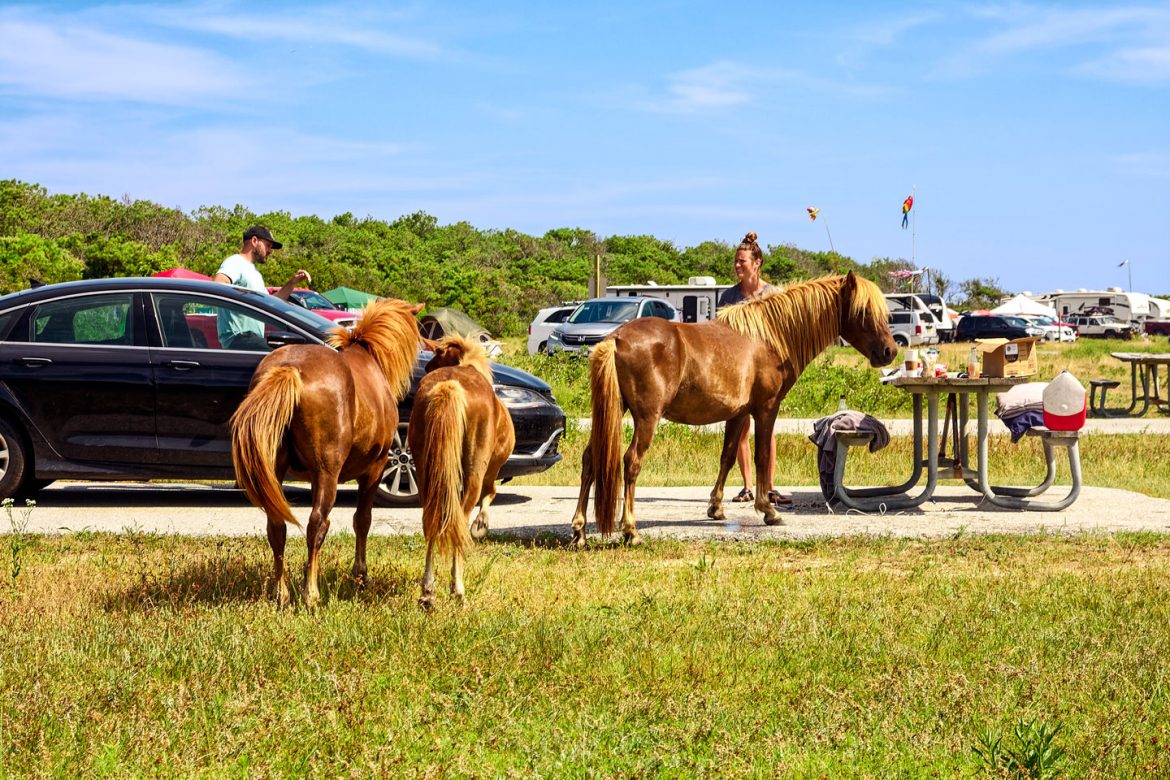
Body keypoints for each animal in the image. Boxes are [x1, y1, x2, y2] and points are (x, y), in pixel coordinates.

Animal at [230, 298, 423, 607]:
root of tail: (290, 369)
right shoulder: (374, 470)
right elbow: (362, 521)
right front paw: (360, 576)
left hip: (277, 470)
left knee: (277, 527)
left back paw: (282, 593)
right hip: (328, 472)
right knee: (317, 524)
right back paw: (311, 594)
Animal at [408, 335, 515, 609]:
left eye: (433, 360)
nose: (426, 368)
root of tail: (450, 387)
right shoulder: (490, 473)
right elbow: (490, 495)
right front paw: (481, 525)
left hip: (425, 474)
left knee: (431, 520)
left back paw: (427, 592)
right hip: (473, 474)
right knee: (459, 520)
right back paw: (458, 589)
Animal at [569, 271, 897, 547]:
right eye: (864, 311)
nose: (890, 351)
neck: (768, 339)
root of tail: (616, 338)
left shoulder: (738, 414)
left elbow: (727, 457)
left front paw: (715, 507)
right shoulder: (765, 409)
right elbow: (761, 456)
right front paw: (768, 510)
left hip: (611, 414)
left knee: (589, 461)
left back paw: (579, 531)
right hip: (646, 419)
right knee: (632, 462)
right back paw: (630, 530)